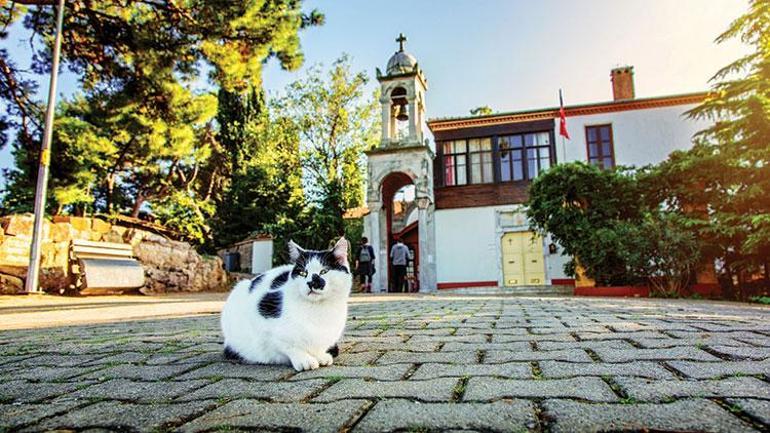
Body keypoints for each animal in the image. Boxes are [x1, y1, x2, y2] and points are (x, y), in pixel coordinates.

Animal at [219, 238, 352, 370]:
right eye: (303, 273)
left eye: (324, 271)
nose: (311, 283)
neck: (318, 310)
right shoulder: (265, 323)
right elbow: (288, 345)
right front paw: (304, 359)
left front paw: (321, 356)